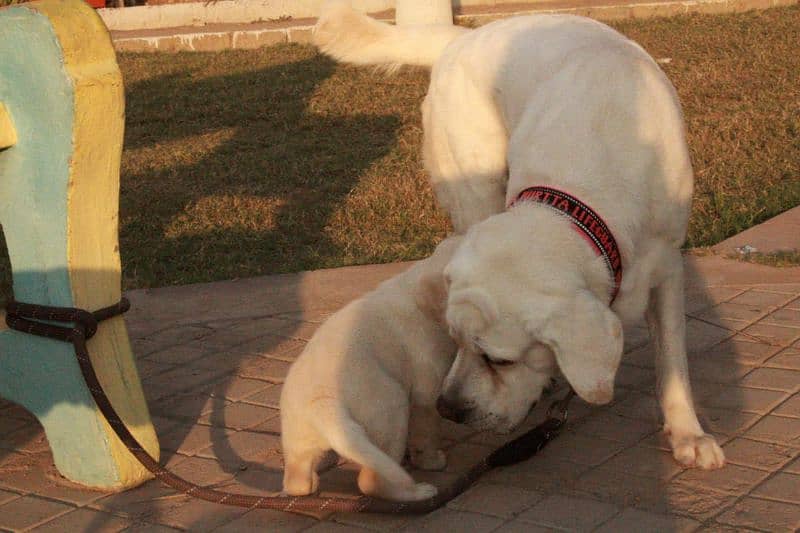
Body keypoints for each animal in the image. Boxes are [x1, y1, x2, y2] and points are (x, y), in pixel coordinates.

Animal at [282, 236, 460, 498]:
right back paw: (417, 491)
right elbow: (426, 432)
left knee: (296, 481)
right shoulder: (426, 394)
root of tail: (324, 401)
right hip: (393, 407)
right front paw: (432, 461)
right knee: (370, 481)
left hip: (298, 438)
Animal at [314, 1, 724, 466]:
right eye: (455, 341)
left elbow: (673, 356)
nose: (448, 408)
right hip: (473, 184)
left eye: (500, 361)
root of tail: (462, 38)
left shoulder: (669, 263)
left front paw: (688, 433)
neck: (586, 188)